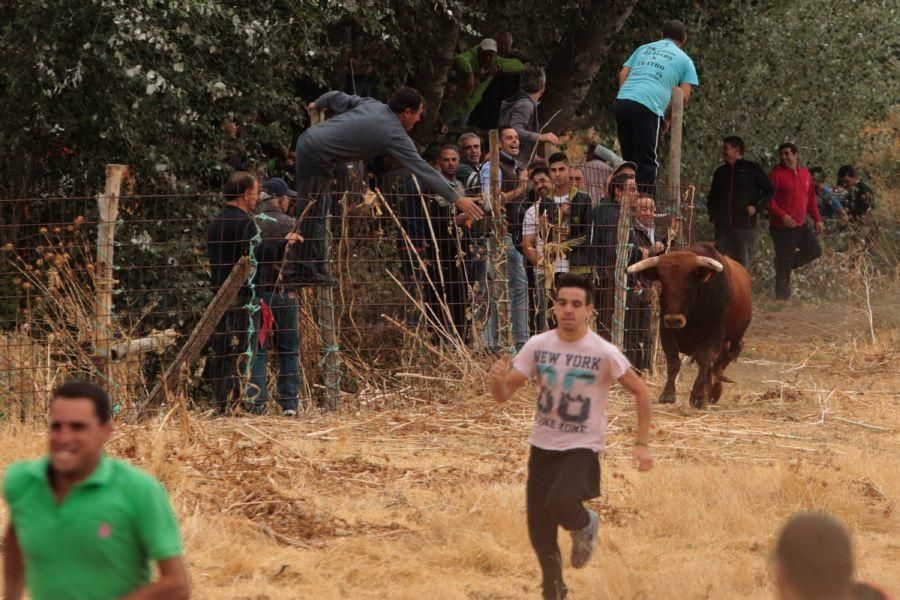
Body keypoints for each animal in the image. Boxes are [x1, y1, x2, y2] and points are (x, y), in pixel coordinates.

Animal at [624, 243, 752, 408]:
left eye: (689, 281)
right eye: (663, 281)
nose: (674, 319)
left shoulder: (715, 334)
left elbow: (704, 360)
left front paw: (698, 396)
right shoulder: (666, 332)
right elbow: (673, 362)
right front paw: (668, 394)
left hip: (734, 338)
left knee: (724, 359)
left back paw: (713, 392)